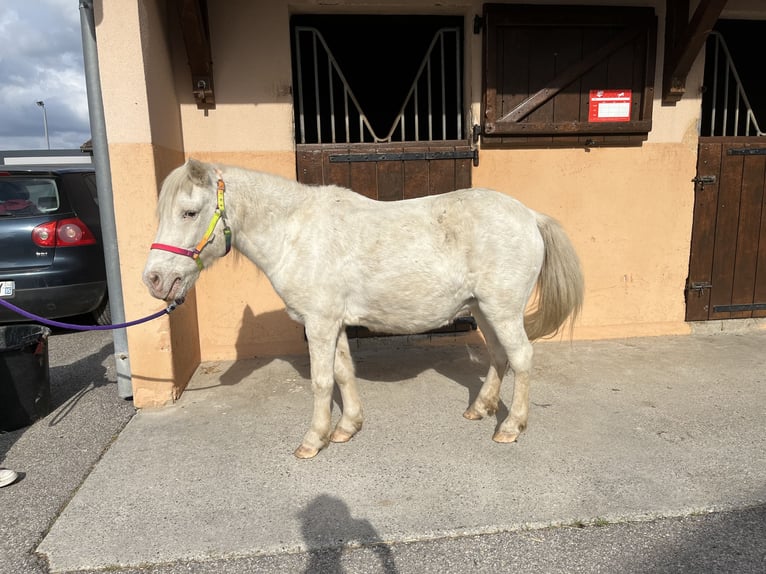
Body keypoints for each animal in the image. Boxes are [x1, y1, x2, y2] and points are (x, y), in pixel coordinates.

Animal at [144, 159, 584, 460]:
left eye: (189, 212)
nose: (154, 279)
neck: (295, 233)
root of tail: (530, 216)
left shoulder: (319, 323)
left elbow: (322, 381)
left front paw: (313, 440)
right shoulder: (332, 323)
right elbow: (343, 372)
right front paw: (347, 427)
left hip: (503, 310)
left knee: (521, 358)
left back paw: (510, 427)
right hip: (483, 311)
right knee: (499, 356)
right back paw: (480, 409)